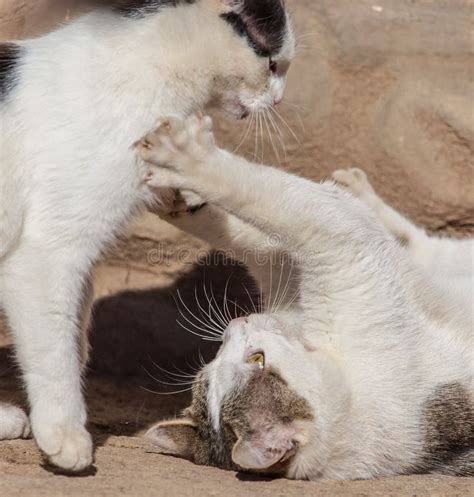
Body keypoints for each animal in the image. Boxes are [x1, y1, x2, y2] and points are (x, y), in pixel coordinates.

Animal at [142, 114, 474, 478]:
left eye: (257, 360)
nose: (238, 323)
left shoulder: (301, 263)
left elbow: (260, 228)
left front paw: (175, 192)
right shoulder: (342, 245)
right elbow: (276, 199)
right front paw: (184, 163)